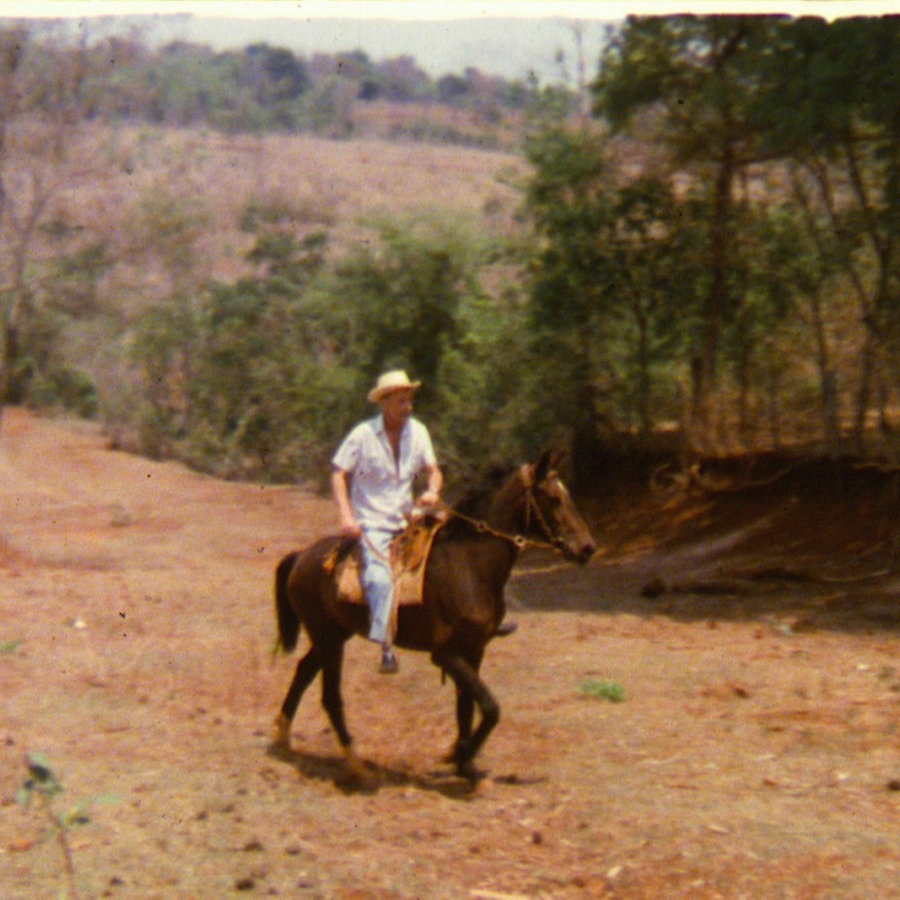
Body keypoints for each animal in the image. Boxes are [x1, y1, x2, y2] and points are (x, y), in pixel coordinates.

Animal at [274, 450, 596, 780]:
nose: (587, 548)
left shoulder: (474, 650)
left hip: (333, 636)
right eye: (553, 498)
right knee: (330, 696)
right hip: (328, 639)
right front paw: (463, 752)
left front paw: (464, 762)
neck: (468, 565)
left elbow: (466, 705)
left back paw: (283, 737)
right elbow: (490, 707)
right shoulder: (445, 654)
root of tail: (302, 556)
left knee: (303, 671)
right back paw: (356, 765)